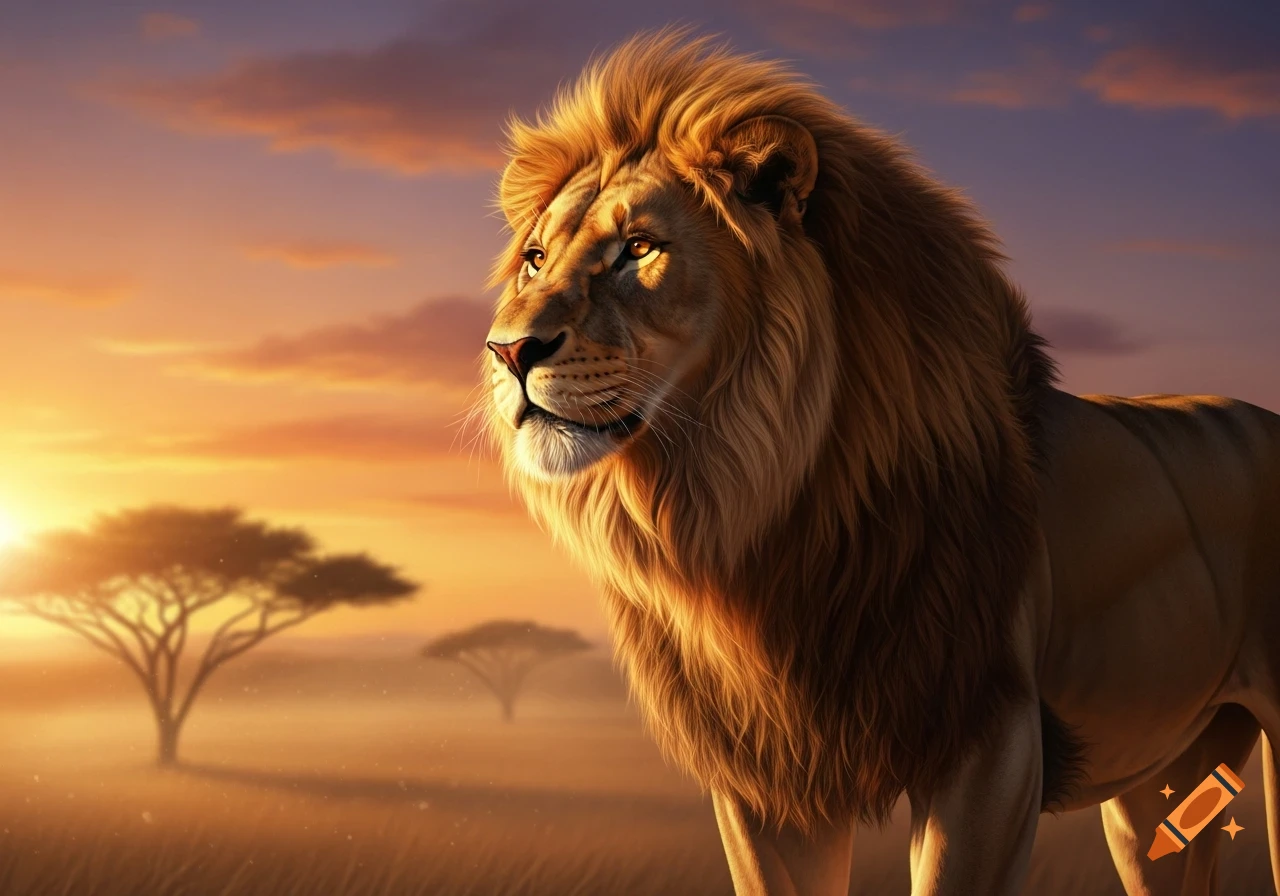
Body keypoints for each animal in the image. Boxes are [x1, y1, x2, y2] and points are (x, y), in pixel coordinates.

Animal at [479, 29, 1280, 896]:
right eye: (533, 259)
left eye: (640, 249)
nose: (508, 350)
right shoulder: (766, 774)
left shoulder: (991, 743)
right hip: (1160, 782)